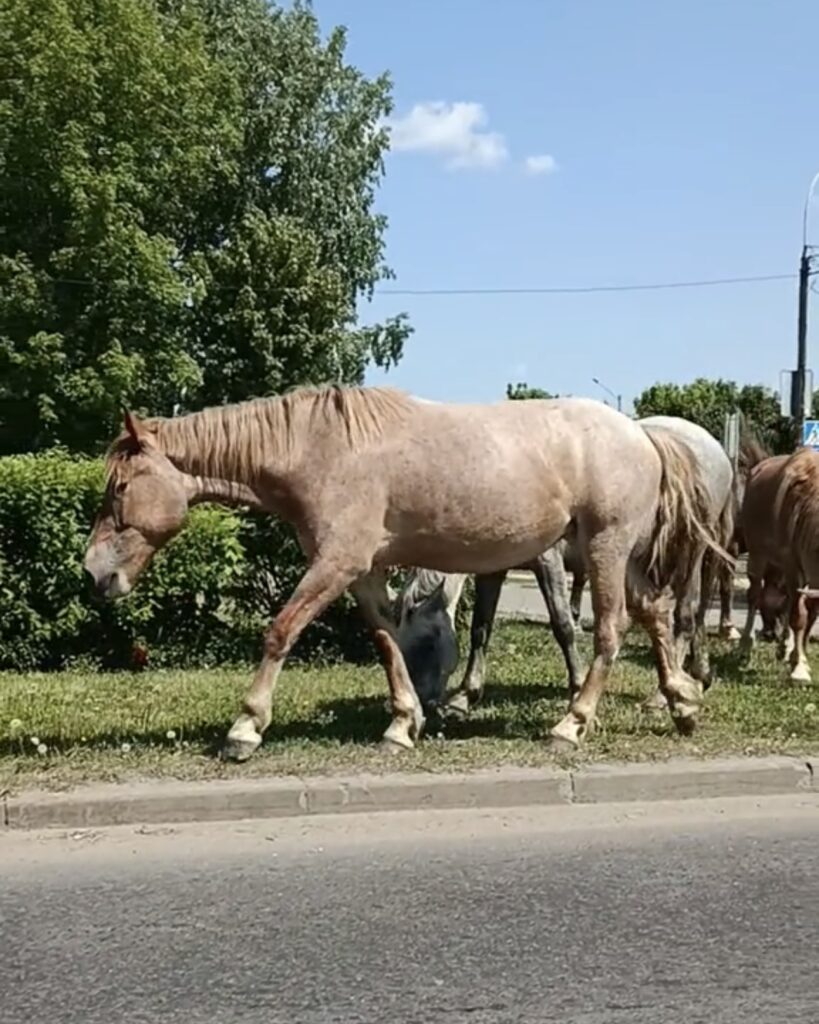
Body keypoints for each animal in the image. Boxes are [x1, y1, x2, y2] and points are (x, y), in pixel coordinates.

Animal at [397, 411, 737, 716]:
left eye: (427, 642)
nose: (423, 705)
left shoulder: (549, 562)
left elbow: (563, 624)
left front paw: (576, 688)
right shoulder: (492, 569)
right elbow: (481, 627)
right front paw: (465, 696)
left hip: (688, 554)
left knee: (686, 615)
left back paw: (662, 697)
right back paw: (699, 677)